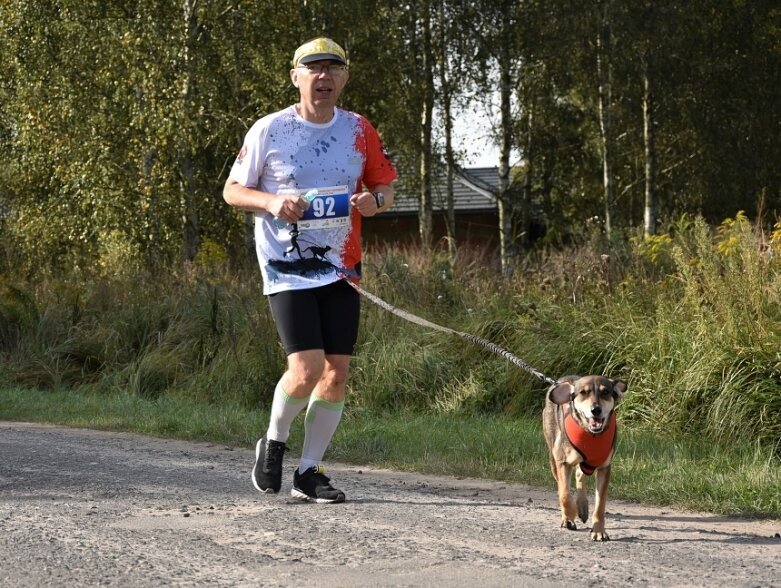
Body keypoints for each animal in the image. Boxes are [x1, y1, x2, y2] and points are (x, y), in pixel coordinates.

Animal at [544, 374, 628, 540]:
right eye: (583, 392)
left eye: (605, 392)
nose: (596, 410)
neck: (591, 435)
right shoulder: (562, 461)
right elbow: (564, 494)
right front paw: (570, 515)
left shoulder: (604, 467)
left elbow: (600, 505)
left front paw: (599, 531)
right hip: (553, 456)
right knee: (563, 485)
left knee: (579, 473)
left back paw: (582, 506)